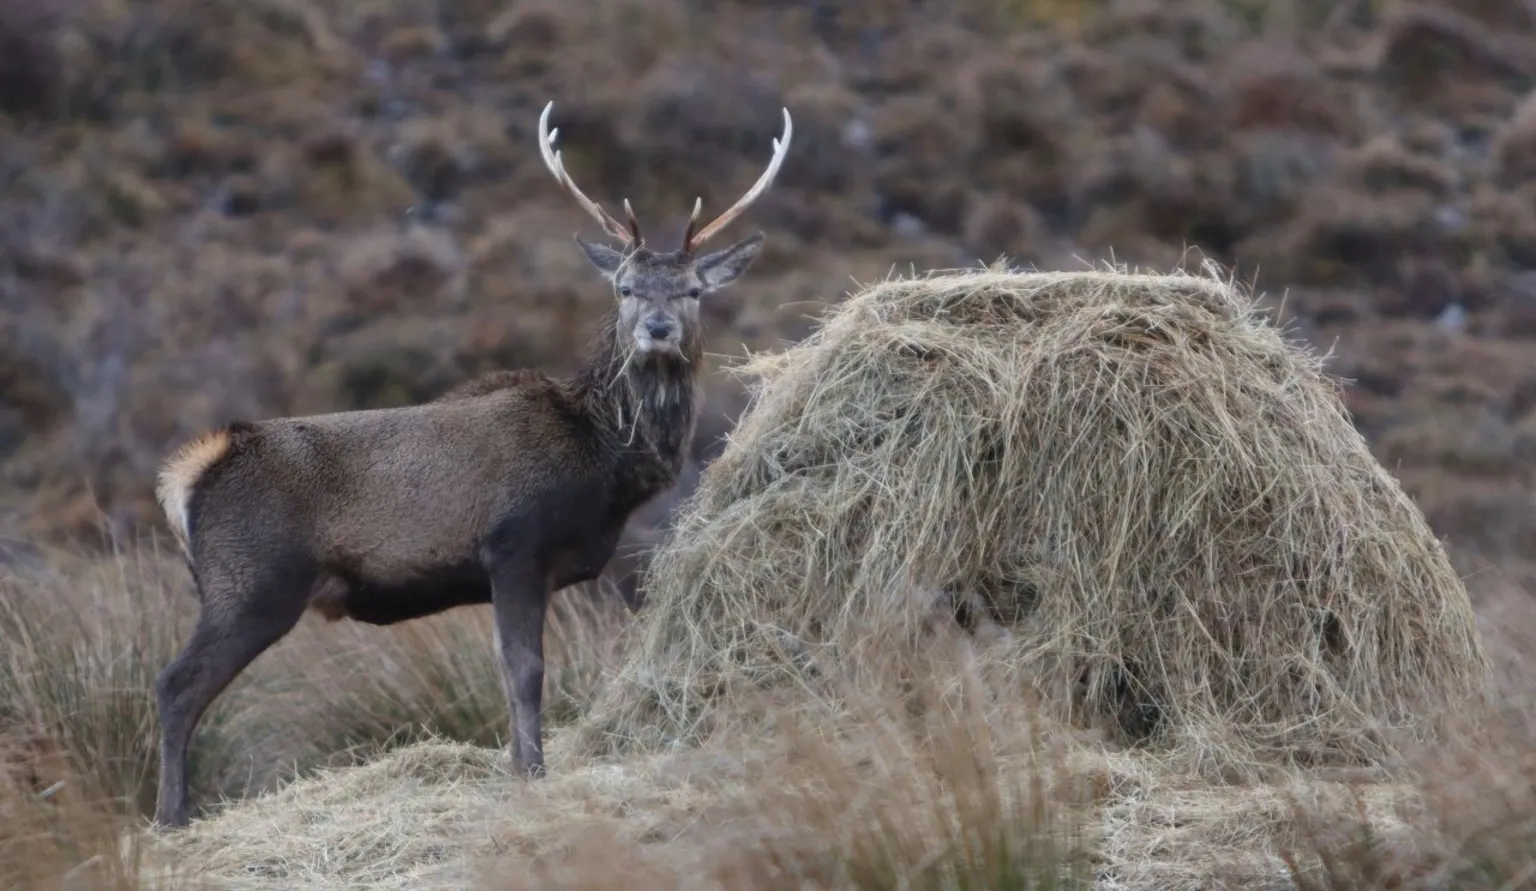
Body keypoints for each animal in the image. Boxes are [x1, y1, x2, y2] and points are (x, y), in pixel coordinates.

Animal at [148, 100, 793, 828]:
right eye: (626, 288)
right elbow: (524, 670)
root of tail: (189, 475)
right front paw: (531, 772)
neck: (603, 461)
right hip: (252, 580)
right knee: (175, 684)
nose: (657, 330)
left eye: (691, 291)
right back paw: (172, 816)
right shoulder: (514, 544)